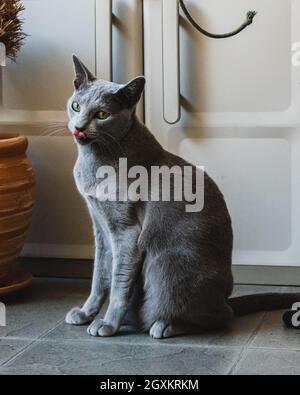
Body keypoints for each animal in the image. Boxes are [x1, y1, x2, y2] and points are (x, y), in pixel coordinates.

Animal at [66, 55, 300, 338]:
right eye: (76, 106)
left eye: (102, 114)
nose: (78, 127)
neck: (96, 160)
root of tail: (225, 297)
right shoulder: (100, 227)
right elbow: (99, 276)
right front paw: (86, 313)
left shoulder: (126, 231)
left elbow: (118, 282)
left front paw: (108, 324)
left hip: (165, 267)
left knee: (219, 317)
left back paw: (164, 325)